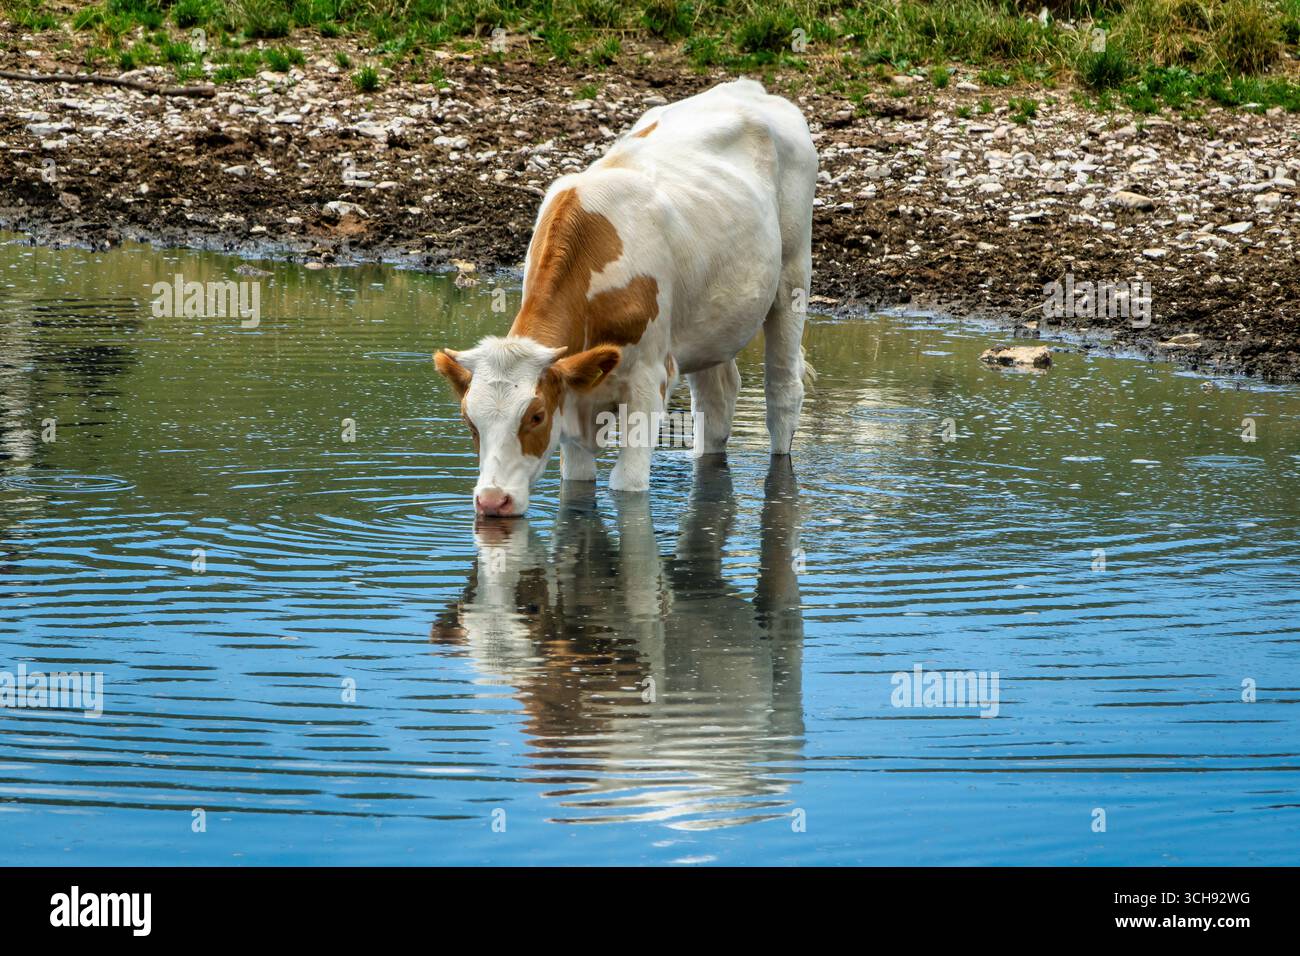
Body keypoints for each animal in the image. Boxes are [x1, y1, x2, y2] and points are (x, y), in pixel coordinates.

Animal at [434, 79, 818, 516]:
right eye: (470, 421)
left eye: (535, 416)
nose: (492, 500)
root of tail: (746, 87)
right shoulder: (574, 399)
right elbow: (577, 484)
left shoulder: (649, 379)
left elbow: (627, 485)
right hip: (711, 317)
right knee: (716, 401)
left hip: (793, 273)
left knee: (783, 390)